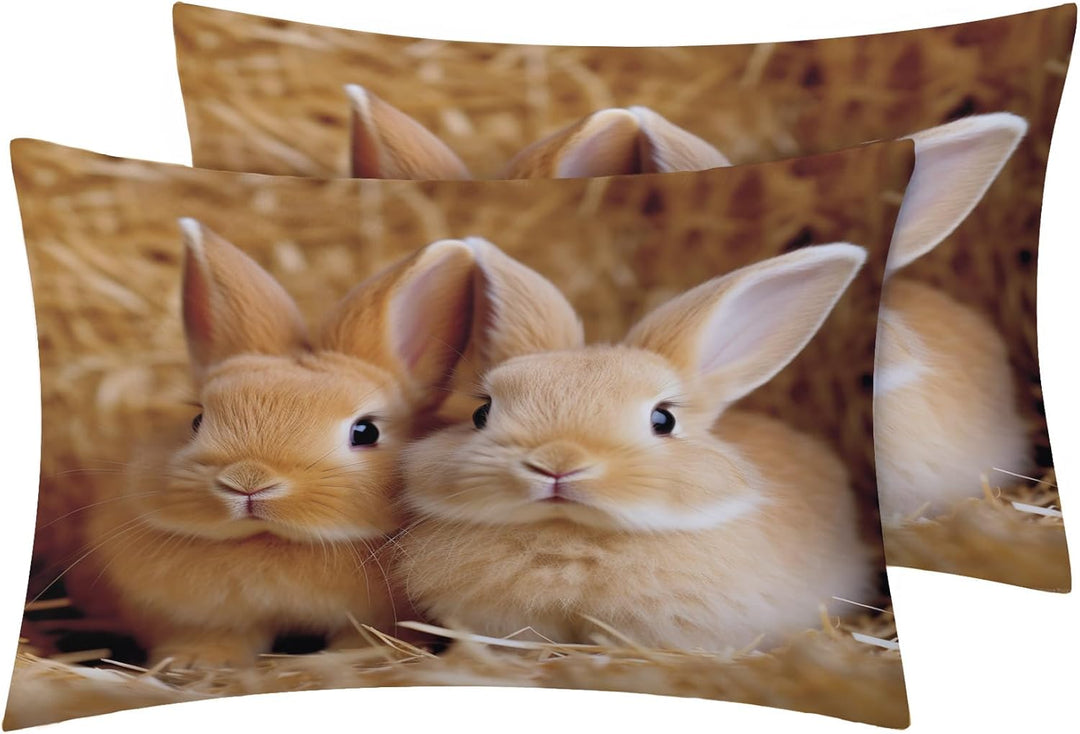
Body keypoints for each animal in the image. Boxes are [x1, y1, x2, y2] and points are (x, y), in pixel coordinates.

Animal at [70, 218, 475, 668]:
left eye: (366, 432)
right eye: (196, 420)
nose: (248, 481)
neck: (272, 540)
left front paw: (364, 659)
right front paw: (193, 661)